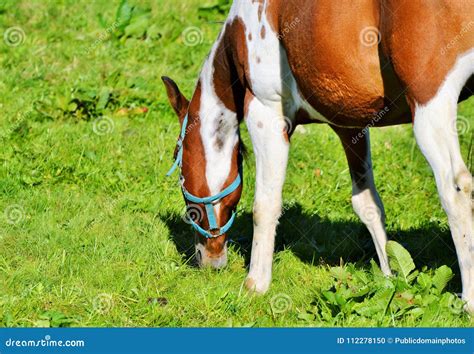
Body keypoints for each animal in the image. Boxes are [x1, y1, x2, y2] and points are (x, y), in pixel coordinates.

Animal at [164, 0, 474, 312]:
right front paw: (390, 279)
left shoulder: (266, 113)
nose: (206, 259)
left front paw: (256, 284)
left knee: (456, 191)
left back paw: (468, 301)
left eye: (180, 170)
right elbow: (368, 205)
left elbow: (265, 205)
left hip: (430, 108)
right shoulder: (350, 127)